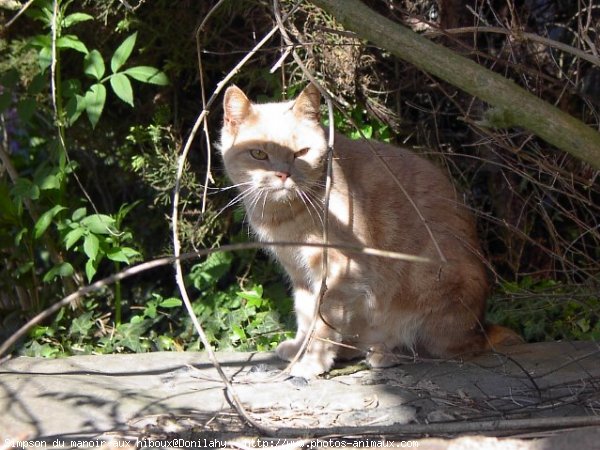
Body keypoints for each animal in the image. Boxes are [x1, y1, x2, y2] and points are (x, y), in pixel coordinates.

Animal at [217, 82, 520, 378]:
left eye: (301, 153)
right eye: (259, 154)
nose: (283, 175)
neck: (284, 214)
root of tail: (481, 327)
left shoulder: (337, 273)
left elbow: (322, 324)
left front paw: (312, 363)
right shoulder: (300, 275)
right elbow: (305, 314)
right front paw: (299, 349)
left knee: (439, 348)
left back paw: (384, 353)